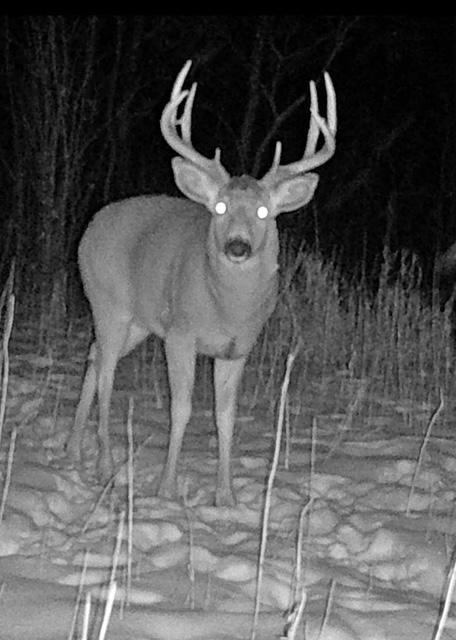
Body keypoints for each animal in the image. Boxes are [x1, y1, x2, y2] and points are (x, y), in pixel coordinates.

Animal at [66, 60, 337, 507]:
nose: (238, 246)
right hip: (108, 303)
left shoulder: (237, 348)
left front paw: (225, 497)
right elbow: (182, 408)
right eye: (221, 206)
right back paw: (106, 466)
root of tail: (93, 222)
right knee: (105, 373)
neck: (227, 308)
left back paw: (73, 444)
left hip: (138, 323)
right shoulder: (180, 333)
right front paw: (166, 487)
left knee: (92, 356)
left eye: (264, 211)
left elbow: (225, 417)